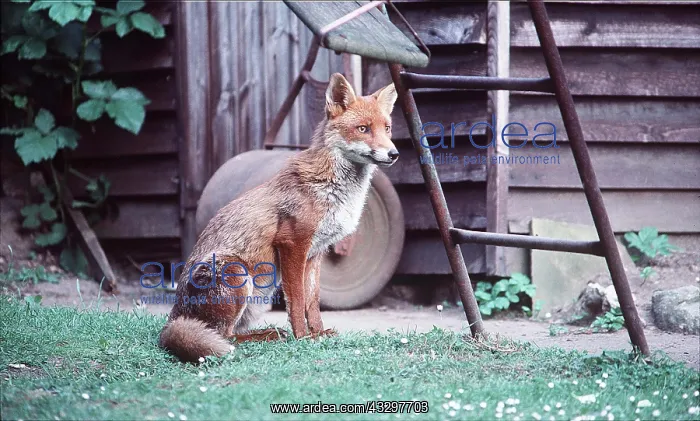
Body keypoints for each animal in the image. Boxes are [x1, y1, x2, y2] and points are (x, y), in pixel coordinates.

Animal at [159, 73, 400, 362]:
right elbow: (296, 300)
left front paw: (319, 333)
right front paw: (303, 337)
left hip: (259, 296)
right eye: (363, 129)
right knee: (225, 335)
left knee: (227, 331)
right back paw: (269, 336)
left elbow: (312, 301)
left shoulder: (316, 253)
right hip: (237, 273)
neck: (332, 188)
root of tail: (173, 319)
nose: (394, 153)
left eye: (387, 128)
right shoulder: (292, 245)